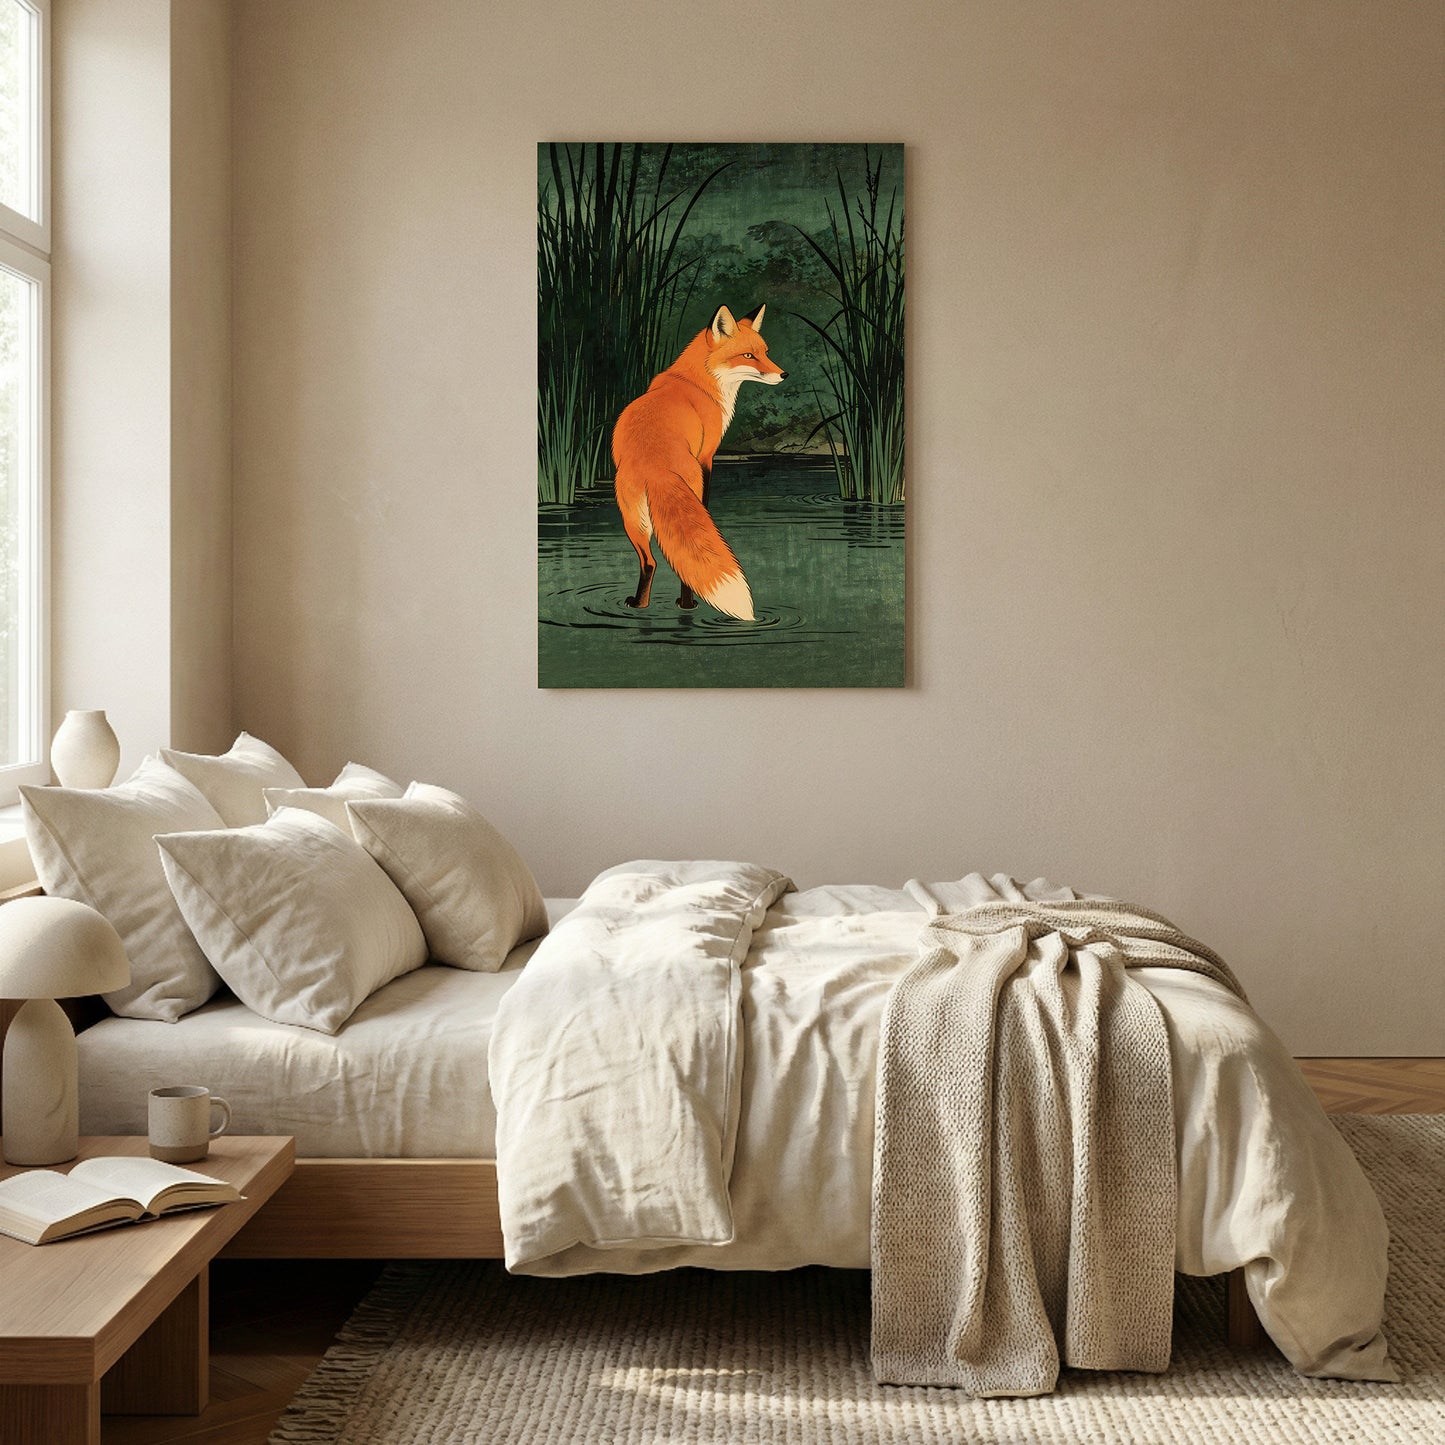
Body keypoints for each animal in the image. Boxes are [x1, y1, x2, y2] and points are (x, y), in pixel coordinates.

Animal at [612, 303, 786, 621]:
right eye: (748, 356)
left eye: (766, 352)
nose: (784, 374)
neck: (699, 381)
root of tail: (655, 467)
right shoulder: (707, 456)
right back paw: (687, 604)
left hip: (631, 519)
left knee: (651, 562)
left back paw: (641, 605)